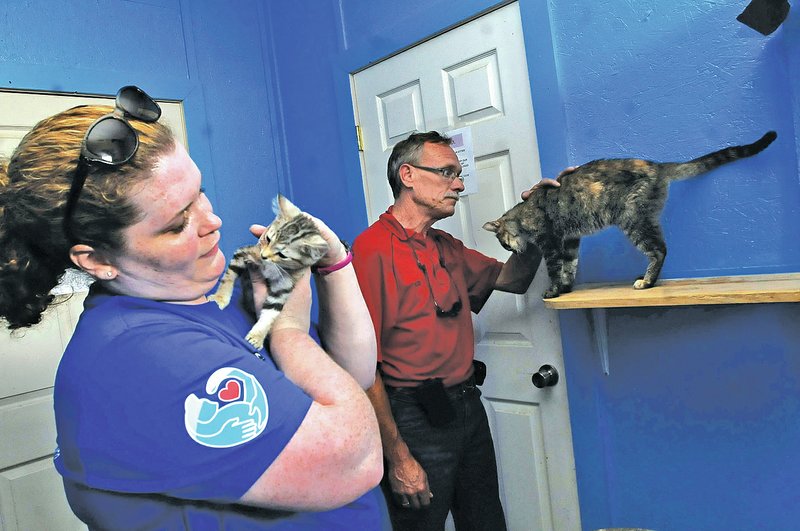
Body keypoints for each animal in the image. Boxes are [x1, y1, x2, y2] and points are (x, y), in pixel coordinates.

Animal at [211, 195, 330, 350]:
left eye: (282, 255)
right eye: (268, 239)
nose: (263, 256)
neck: (273, 266)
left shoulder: (284, 287)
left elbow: (270, 313)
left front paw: (257, 336)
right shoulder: (245, 252)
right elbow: (229, 277)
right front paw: (220, 297)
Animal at [482, 130, 776, 300]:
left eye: (503, 244)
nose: (513, 251)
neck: (523, 215)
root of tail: (658, 166)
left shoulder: (552, 242)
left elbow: (555, 269)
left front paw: (554, 291)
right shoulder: (570, 240)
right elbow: (570, 266)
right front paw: (565, 288)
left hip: (633, 220)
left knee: (659, 250)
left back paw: (646, 282)